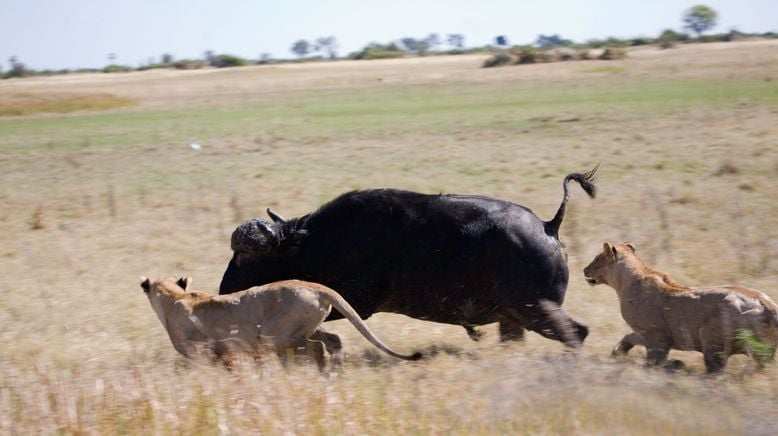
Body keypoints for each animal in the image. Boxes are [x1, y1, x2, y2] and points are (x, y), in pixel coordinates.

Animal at [221, 168, 596, 348]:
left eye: (245, 257)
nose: (224, 290)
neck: (316, 242)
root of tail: (548, 226)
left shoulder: (355, 303)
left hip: (535, 311)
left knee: (577, 333)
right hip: (515, 318)